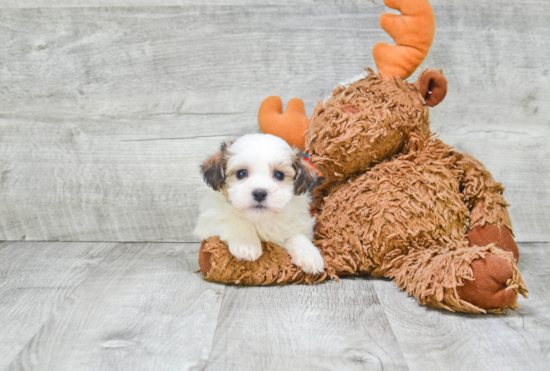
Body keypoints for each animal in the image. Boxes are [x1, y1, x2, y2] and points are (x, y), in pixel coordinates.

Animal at [195, 133, 326, 274]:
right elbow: (234, 220)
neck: (259, 219)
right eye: (241, 173)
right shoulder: (209, 220)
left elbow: (296, 235)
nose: (259, 193)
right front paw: (246, 243)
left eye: (279, 175)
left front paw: (309, 254)